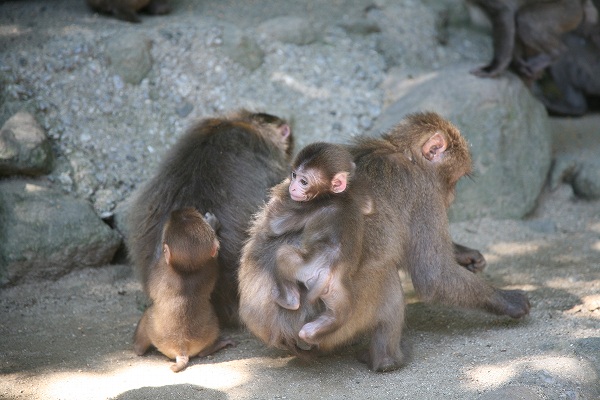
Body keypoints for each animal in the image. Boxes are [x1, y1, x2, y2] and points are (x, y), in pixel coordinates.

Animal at [132, 208, 233, 374]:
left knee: (145, 325)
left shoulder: (159, 268)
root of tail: (182, 350)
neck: (186, 270)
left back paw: (137, 348)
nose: (176, 211)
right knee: (202, 353)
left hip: (151, 328)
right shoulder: (211, 265)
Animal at [239, 110, 528, 372]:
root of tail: (275, 327)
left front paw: (466, 254)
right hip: (344, 311)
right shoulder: (424, 193)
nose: (452, 196)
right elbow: (433, 276)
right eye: (454, 180)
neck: (403, 154)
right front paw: (507, 300)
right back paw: (387, 361)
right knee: (386, 278)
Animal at [468, 0, 596, 79]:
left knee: (526, 19)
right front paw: (516, 62)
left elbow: (504, 11)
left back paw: (555, 53)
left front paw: (493, 68)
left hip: (566, 11)